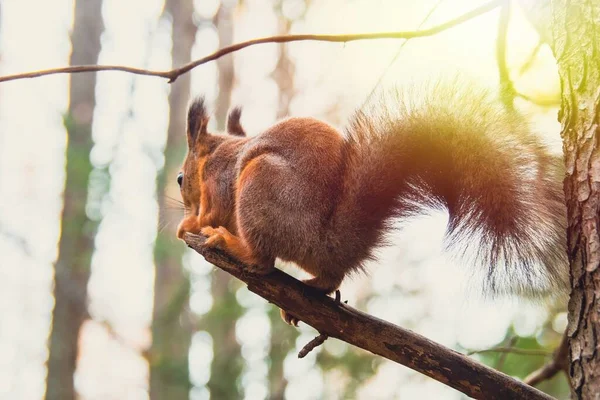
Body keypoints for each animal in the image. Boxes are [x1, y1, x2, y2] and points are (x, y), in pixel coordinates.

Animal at [176, 83, 568, 324]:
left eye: (180, 179)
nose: (181, 200)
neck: (216, 155)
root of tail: (330, 240)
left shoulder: (221, 182)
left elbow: (212, 212)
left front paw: (188, 225)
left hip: (261, 183)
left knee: (263, 261)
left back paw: (233, 244)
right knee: (330, 276)